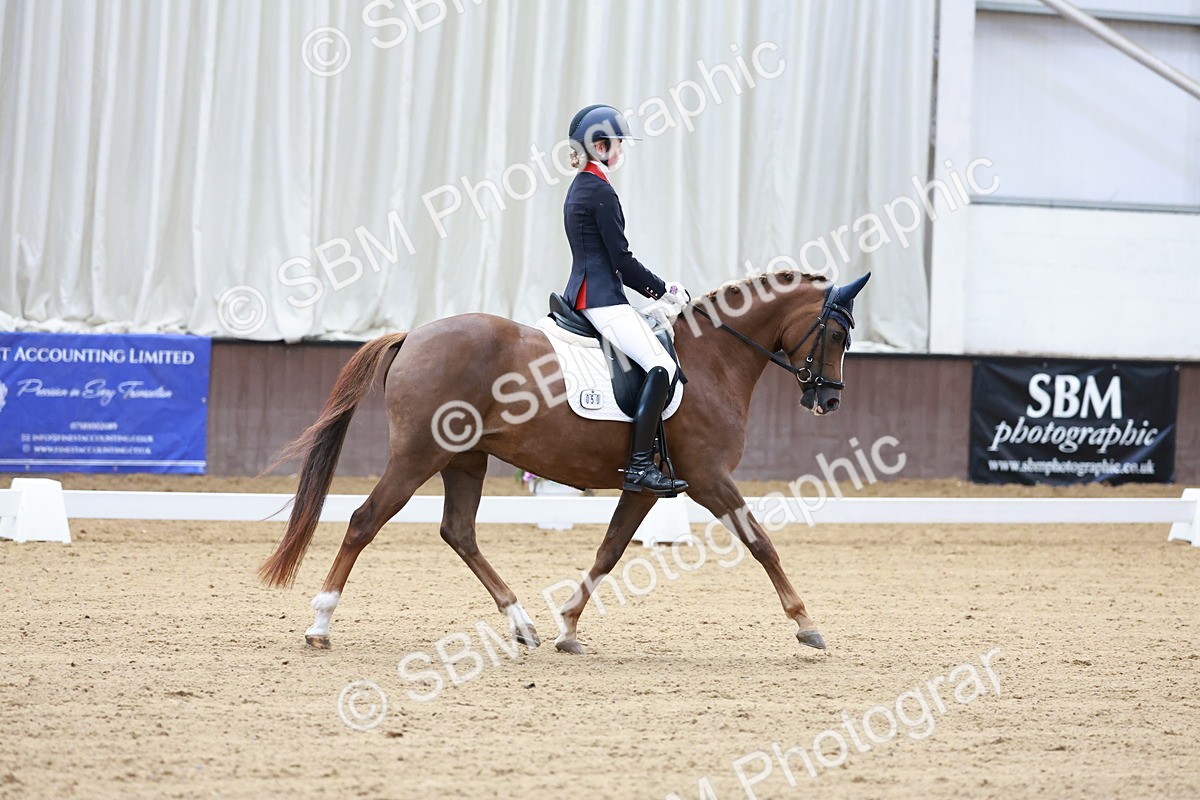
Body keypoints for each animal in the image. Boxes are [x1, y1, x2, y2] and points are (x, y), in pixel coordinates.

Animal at [259, 269, 870, 654]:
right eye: (838, 332)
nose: (830, 400)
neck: (713, 358)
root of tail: (413, 336)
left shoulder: (646, 486)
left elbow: (609, 550)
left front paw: (568, 628)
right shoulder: (708, 478)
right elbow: (760, 541)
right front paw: (807, 624)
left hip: (465, 458)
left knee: (459, 532)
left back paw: (522, 623)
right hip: (418, 455)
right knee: (365, 520)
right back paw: (320, 623)